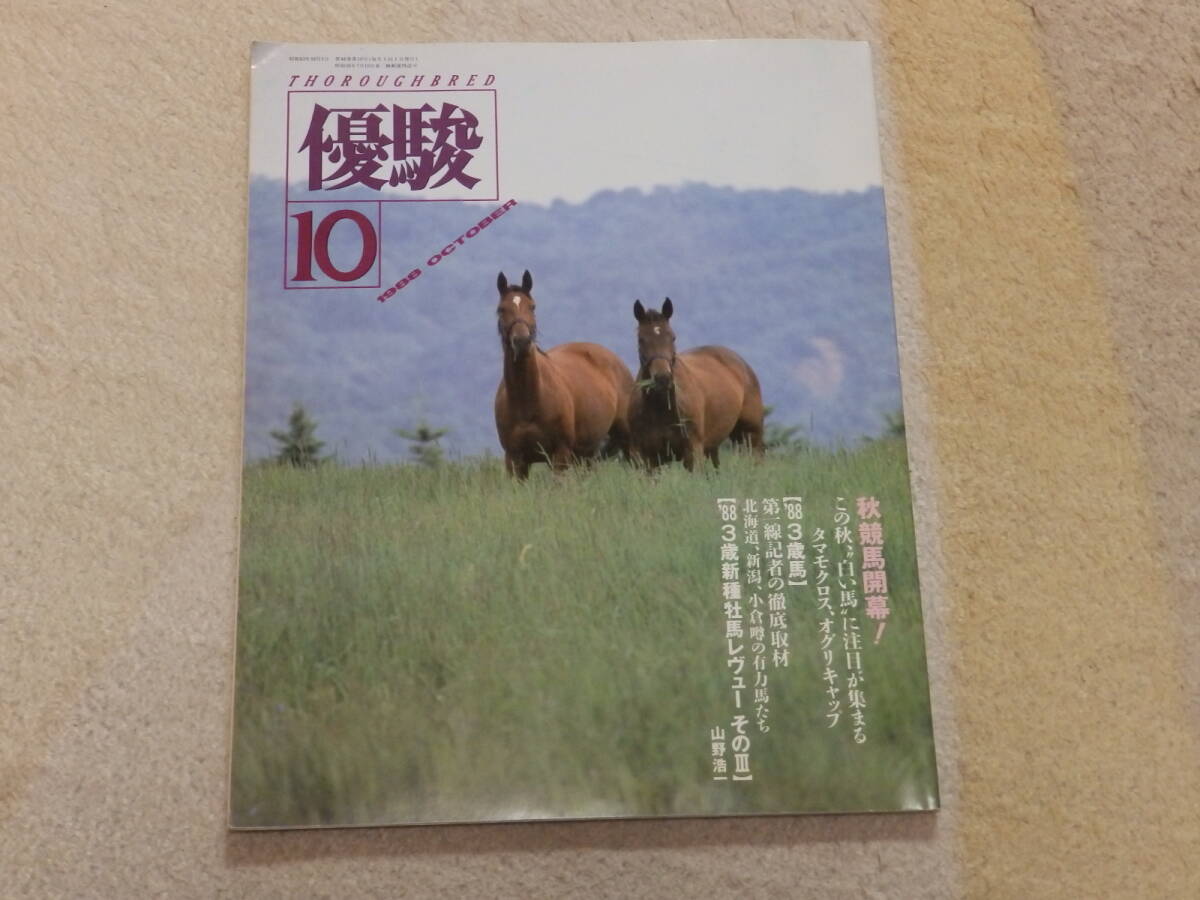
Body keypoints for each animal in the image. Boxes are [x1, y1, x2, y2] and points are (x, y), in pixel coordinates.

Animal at [493, 270, 634, 479]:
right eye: (501, 309)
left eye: (532, 306)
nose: (522, 341)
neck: (528, 400)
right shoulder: (514, 459)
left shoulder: (560, 453)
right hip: (587, 454)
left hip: (624, 440)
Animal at [627, 298, 765, 471]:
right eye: (641, 339)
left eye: (672, 337)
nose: (663, 378)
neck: (661, 408)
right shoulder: (646, 458)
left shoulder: (693, 451)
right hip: (714, 446)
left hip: (750, 436)